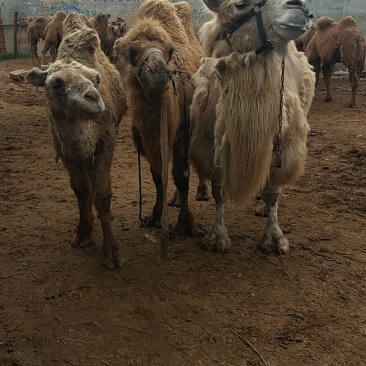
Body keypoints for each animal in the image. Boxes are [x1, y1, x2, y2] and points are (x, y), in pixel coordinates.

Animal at [25, 11, 127, 268]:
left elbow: (102, 194)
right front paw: (83, 234)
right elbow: (81, 190)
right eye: (55, 83)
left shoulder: (105, 144)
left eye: (97, 79)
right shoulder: (64, 152)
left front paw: (112, 253)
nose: (94, 99)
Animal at [113, 0, 202, 254]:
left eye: (170, 51)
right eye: (132, 53)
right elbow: (157, 175)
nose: (159, 71)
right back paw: (173, 199)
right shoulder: (147, 136)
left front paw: (186, 224)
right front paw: (154, 216)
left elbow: (181, 175)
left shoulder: (181, 133)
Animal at [189, 0, 314, 253]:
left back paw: (264, 207)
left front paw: (274, 238)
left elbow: (274, 191)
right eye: (240, 5)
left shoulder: (283, 147)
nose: (302, 8)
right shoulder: (213, 146)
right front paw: (216, 237)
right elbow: (219, 192)